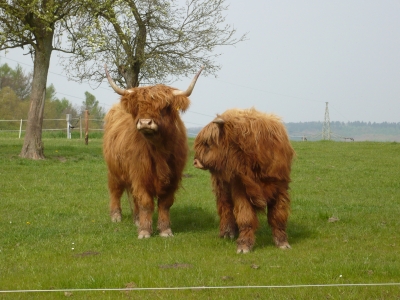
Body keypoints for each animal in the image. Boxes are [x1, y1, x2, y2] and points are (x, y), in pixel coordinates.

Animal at [103, 65, 203, 239]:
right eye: (138, 106)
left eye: (164, 107)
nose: (145, 123)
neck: (159, 150)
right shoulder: (140, 174)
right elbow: (145, 202)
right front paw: (144, 231)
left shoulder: (173, 176)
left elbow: (165, 203)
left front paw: (165, 230)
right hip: (114, 170)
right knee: (115, 190)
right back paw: (116, 216)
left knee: (132, 195)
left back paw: (136, 219)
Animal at [192, 108, 296, 253]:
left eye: (208, 143)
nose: (195, 161)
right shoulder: (240, 189)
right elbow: (245, 216)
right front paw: (244, 245)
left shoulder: (280, 187)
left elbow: (278, 216)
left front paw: (282, 243)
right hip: (222, 188)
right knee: (226, 208)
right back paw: (227, 233)